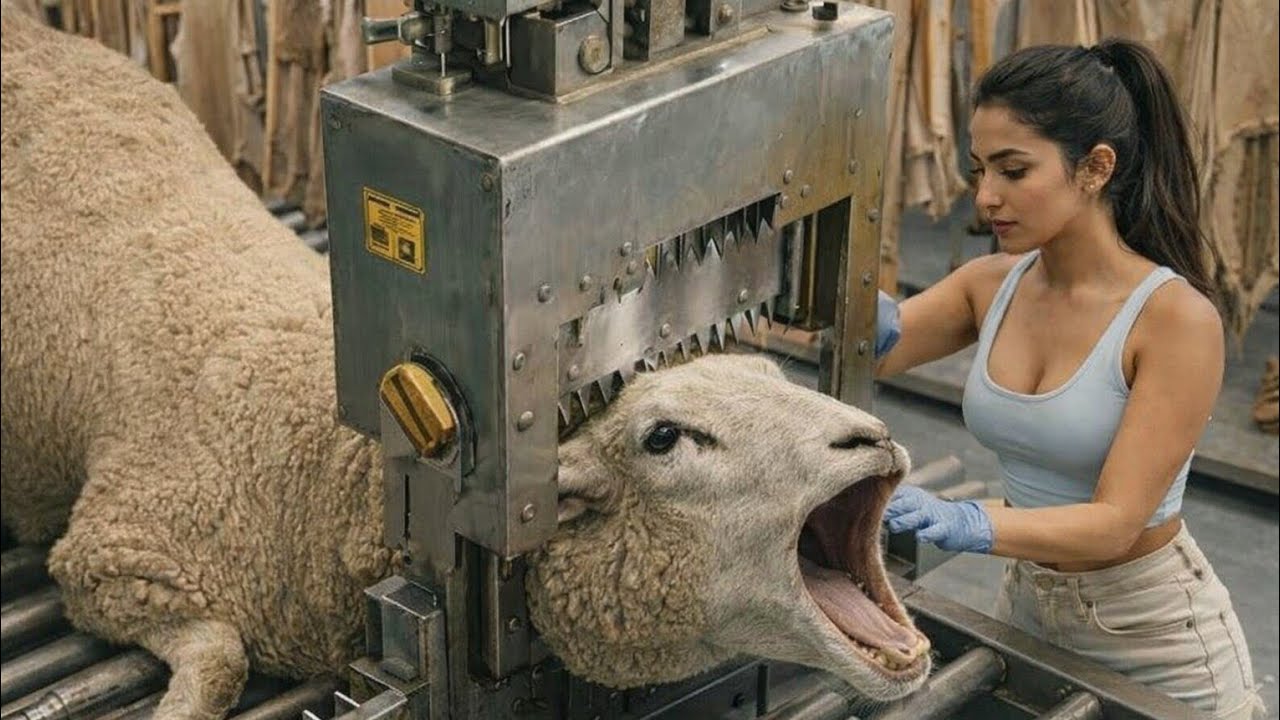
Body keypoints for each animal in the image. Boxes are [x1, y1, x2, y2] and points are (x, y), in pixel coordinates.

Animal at [0, 8, 931, 719]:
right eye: (664, 438)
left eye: (772, 376)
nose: (874, 440)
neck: (325, 480)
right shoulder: (112, 550)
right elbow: (219, 657)